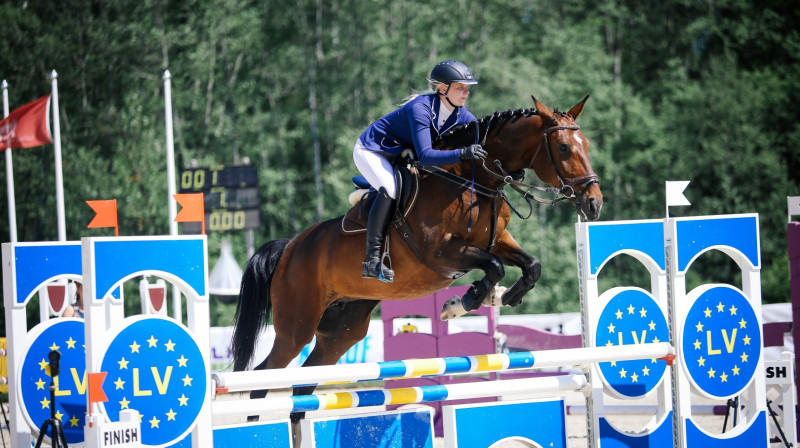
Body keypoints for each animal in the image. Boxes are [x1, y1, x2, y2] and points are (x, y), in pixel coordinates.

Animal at [228, 93, 604, 420]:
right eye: (564, 147)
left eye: (586, 145)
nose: (594, 204)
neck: (473, 181)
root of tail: (289, 248)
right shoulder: (440, 255)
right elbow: (494, 267)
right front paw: (464, 302)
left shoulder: (496, 241)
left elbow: (530, 266)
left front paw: (500, 297)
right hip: (297, 325)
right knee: (264, 376)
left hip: (341, 330)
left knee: (304, 381)